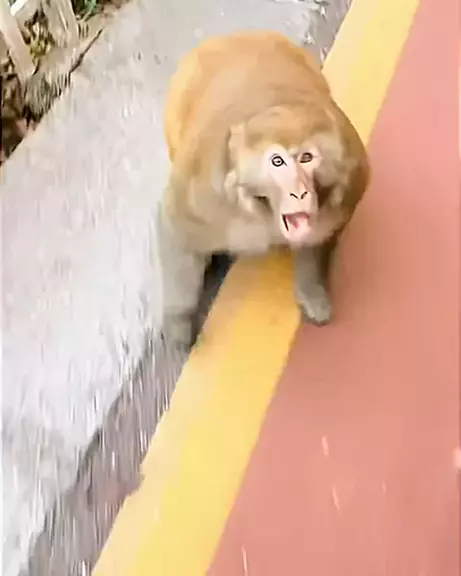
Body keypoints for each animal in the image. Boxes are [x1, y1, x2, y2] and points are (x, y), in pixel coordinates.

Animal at [157, 30, 370, 348]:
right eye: (277, 161)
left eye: (307, 158)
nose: (299, 192)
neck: (263, 214)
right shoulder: (204, 195)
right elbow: (173, 226)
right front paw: (178, 323)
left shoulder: (348, 185)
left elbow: (321, 238)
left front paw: (311, 289)